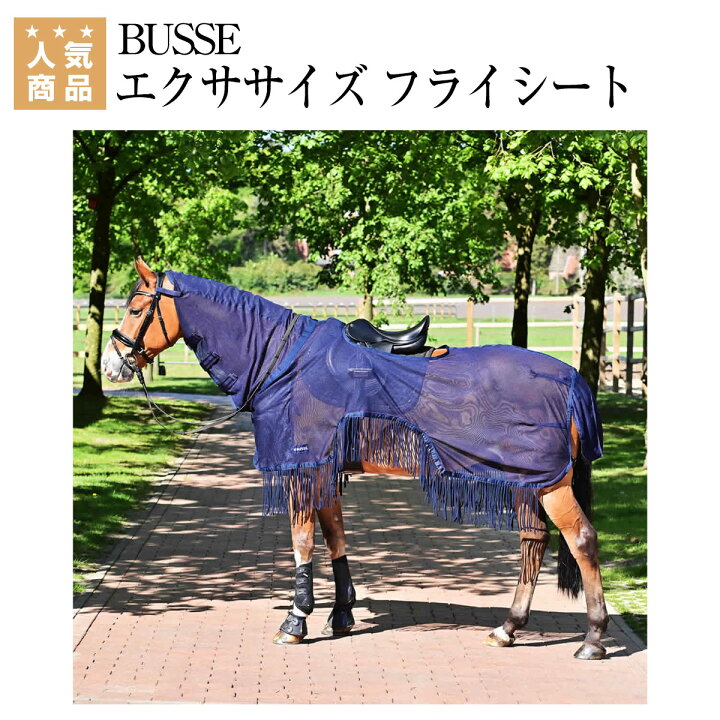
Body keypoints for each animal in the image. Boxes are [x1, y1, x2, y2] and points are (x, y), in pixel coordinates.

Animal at [101, 258, 609, 660]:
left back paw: (593, 638)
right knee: (533, 542)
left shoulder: (302, 467)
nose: (111, 364)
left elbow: (302, 542)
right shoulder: (324, 469)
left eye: (135, 308)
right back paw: (508, 628)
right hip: (530, 481)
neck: (287, 362)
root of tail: (569, 378)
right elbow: (334, 538)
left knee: (581, 540)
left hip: (550, 482)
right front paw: (341, 612)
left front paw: (295, 620)